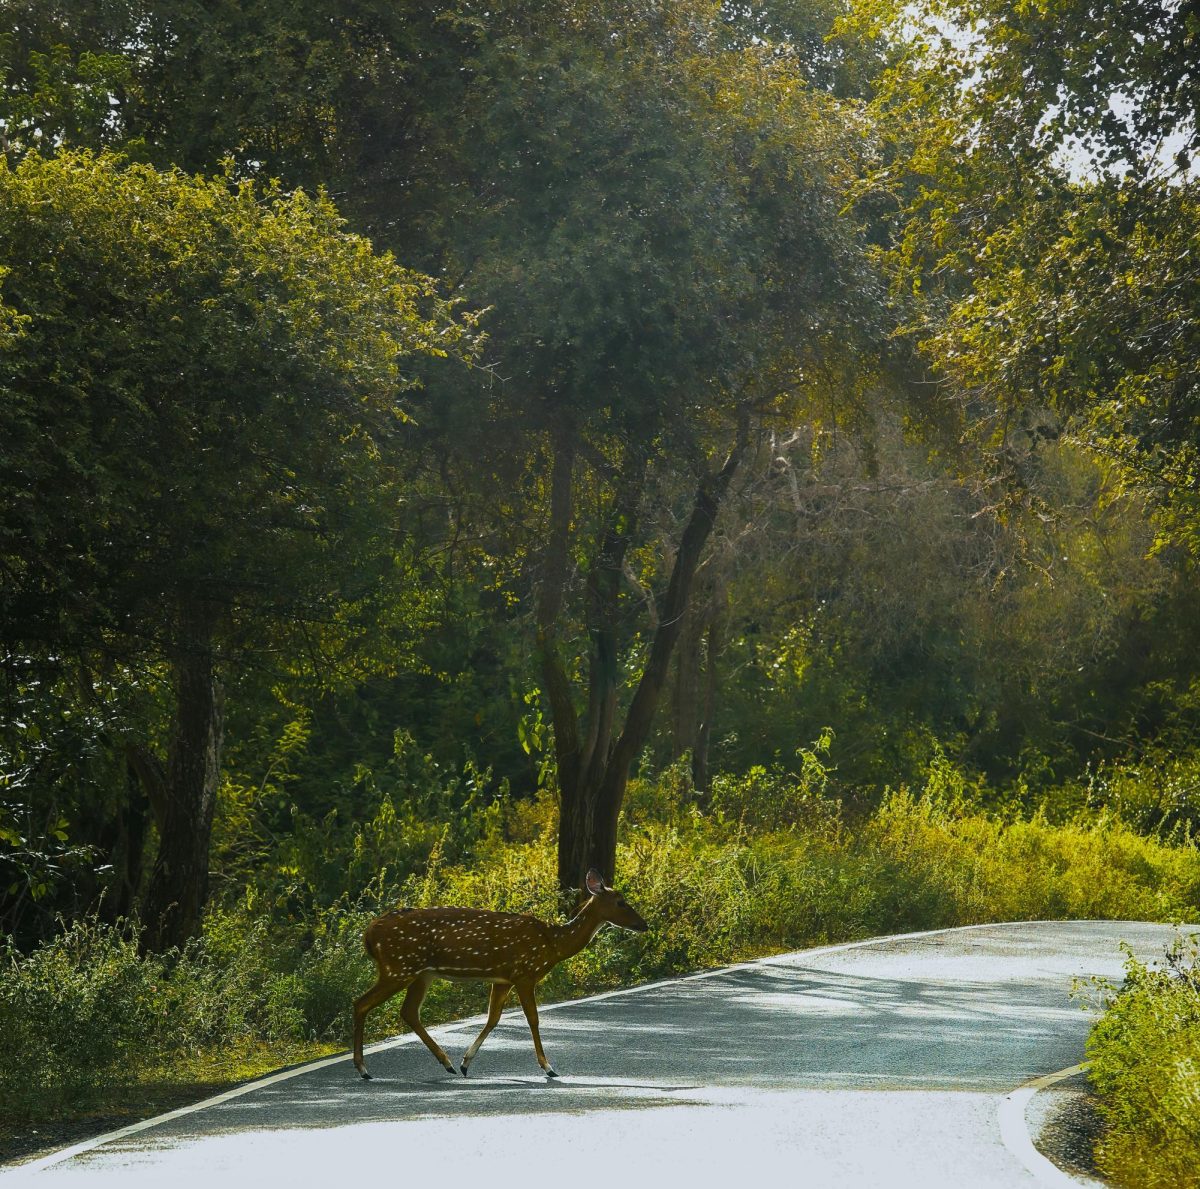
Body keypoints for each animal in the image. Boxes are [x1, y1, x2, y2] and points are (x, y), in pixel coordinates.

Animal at [352, 869, 648, 1080]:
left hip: (420, 973)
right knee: (361, 1003)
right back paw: (364, 1069)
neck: (553, 944)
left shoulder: (502, 979)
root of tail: (369, 934)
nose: (643, 925)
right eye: (621, 902)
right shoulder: (525, 973)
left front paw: (466, 1063)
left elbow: (493, 1018)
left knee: (408, 1011)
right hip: (399, 967)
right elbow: (533, 1019)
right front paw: (548, 1067)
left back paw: (447, 1063)